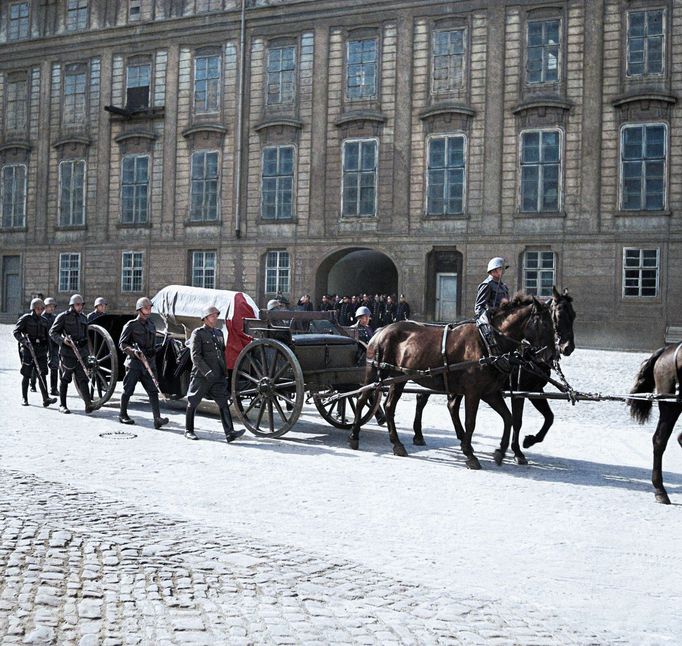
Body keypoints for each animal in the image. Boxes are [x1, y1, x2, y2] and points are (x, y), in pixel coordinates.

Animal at [348, 294, 556, 470]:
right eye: (545, 324)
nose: (551, 355)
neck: (488, 341)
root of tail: (381, 329)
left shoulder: (490, 392)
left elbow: (509, 418)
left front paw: (500, 451)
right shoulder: (474, 393)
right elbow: (471, 422)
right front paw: (470, 454)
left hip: (399, 378)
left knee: (390, 406)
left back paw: (397, 444)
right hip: (374, 373)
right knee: (361, 399)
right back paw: (354, 435)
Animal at [410, 288, 572, 460]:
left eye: (573, 315)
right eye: (557, 317)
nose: (567, 348)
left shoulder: (534, 390)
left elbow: (548, 417)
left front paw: (528, 442)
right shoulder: (519, 391)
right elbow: (518, 420)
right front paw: (517, 451)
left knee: (449, 404)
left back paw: (458, 437)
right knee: (423, 399)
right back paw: (420, 435)